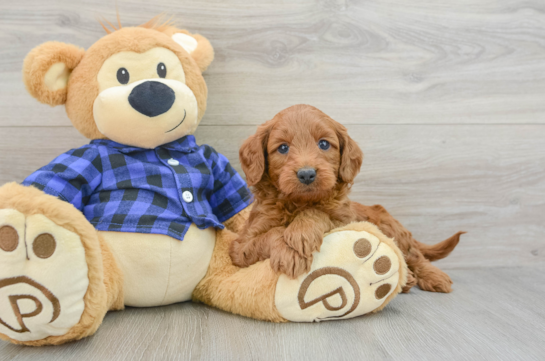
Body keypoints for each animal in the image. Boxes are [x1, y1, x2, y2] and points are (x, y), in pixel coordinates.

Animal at [230, 104, 464, 292]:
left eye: (324, 144)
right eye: (283, 148)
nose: (306, 174)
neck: (299, 202)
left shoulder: (346, 222)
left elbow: (318, 212)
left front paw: (300, 233)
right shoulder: (241, 247)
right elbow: (270, 234)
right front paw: (289, 251)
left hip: (392, 229)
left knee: (415, 255)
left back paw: (434, 277)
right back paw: (408, 282)